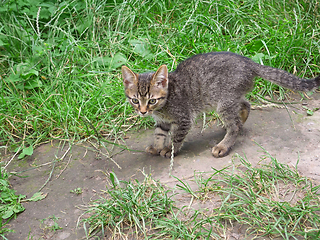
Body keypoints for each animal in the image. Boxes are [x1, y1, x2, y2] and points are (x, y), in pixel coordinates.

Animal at [120, 51, 320, 158]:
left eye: (152, 100)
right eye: (135, 100)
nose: (143, 112)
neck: (164, 105)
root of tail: (249, 62)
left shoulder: (184, 118)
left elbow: (177, 137)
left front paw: (170, 149)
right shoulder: (162, 122)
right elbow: (159, 134)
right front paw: (156, 146)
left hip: (224, 102)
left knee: (235, 125)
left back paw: (224, 145)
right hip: (229, 99)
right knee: (245, 105)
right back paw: (237, 122)